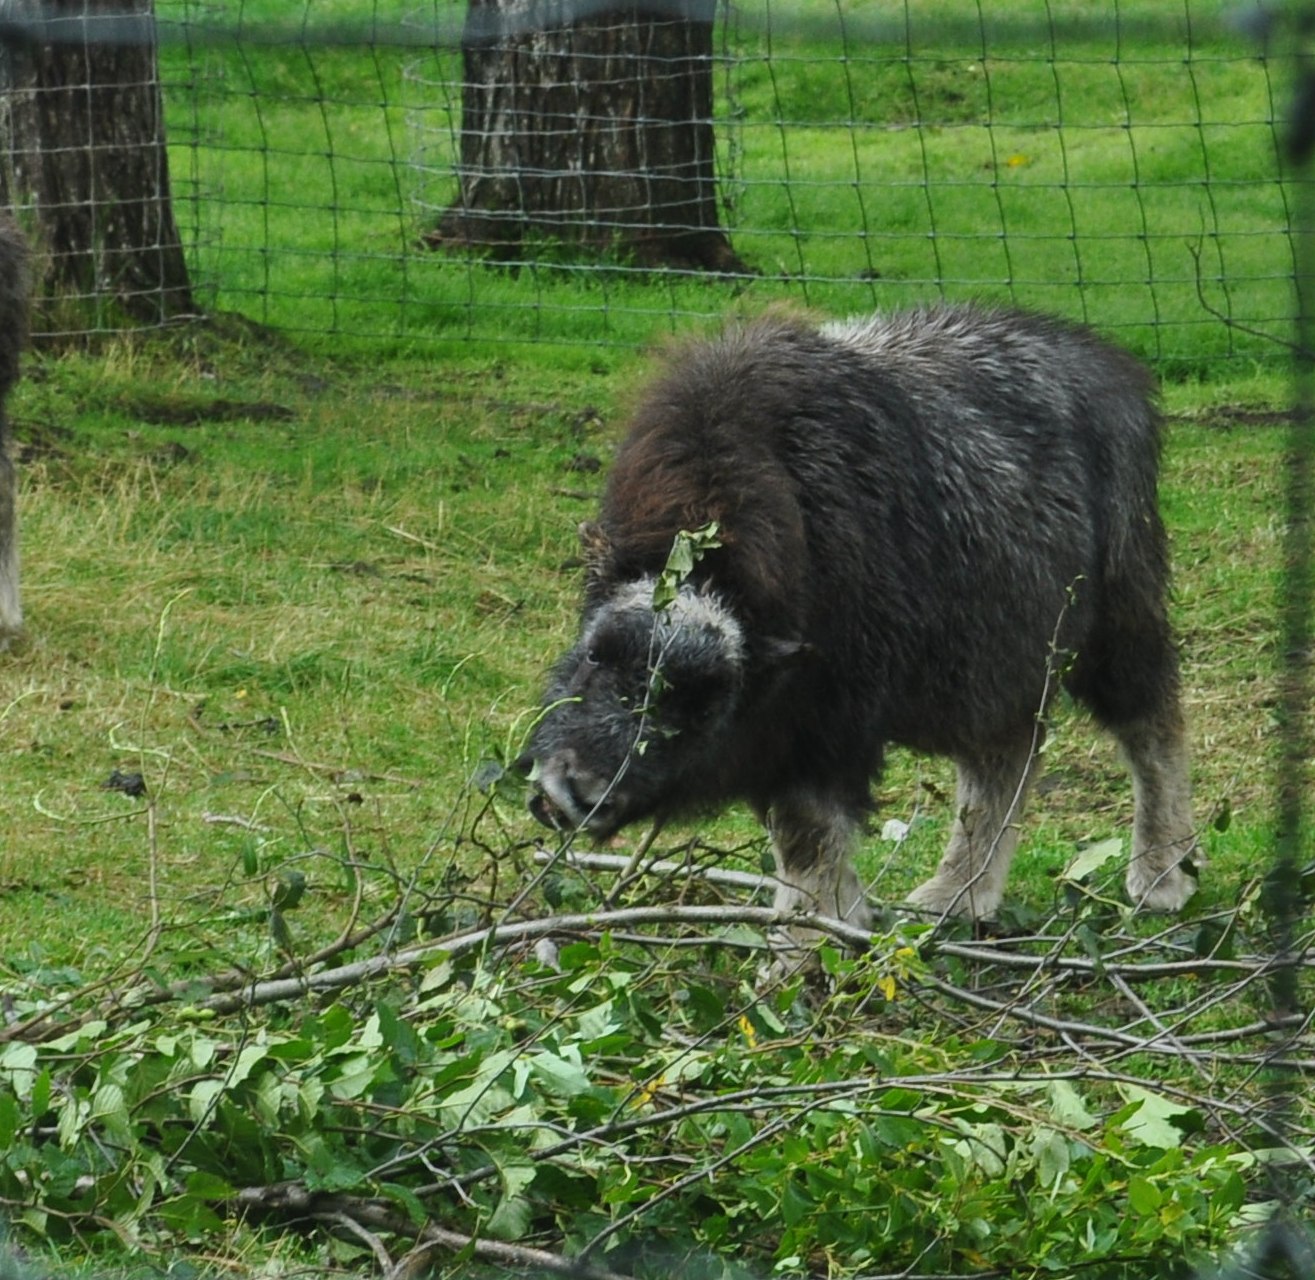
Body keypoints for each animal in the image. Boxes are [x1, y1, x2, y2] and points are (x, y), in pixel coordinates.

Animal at [521, 304, 1200, 953]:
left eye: (705, 701)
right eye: (596, 653)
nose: (571, 793)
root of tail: (1109, 365)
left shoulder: (830, 719)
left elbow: (808, 832)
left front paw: (804, 946)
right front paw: (844, 922)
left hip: (1115, 621)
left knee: (1149, 723)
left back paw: (1162, 879)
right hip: (998, 664)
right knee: (1005, 758)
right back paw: (954, 899)